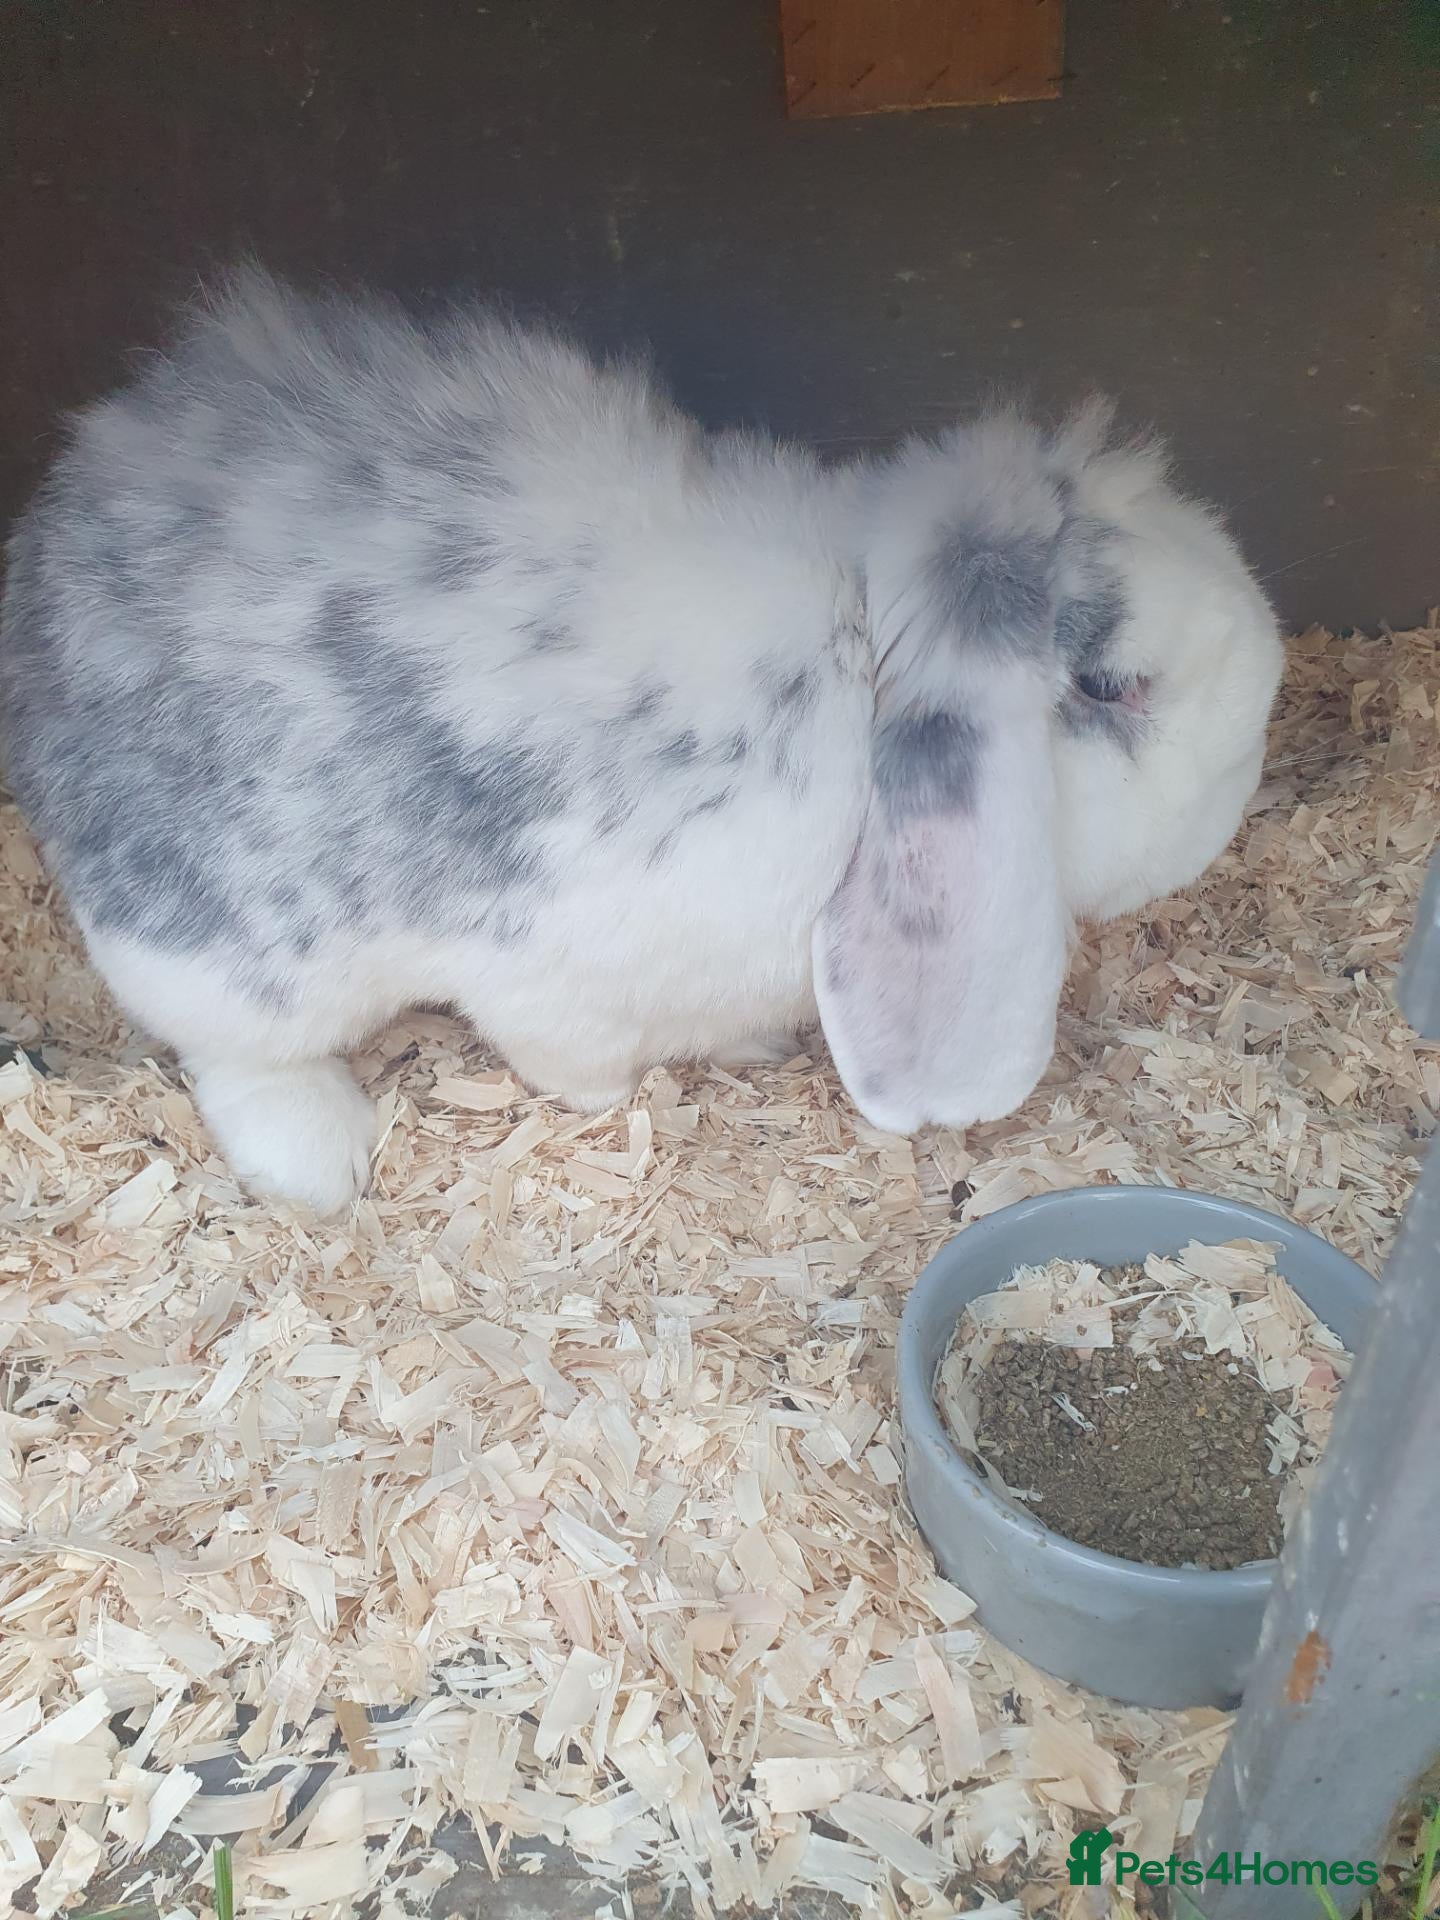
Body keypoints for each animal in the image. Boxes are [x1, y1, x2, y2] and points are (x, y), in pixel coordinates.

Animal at [0, 271, 1283, 1213]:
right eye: (1113, 687)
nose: (1271, 690)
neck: (861, 658)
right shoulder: (559, 983)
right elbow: (576, 1070)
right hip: (228, 955)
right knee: (230, 1051)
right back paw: (324, 1158)